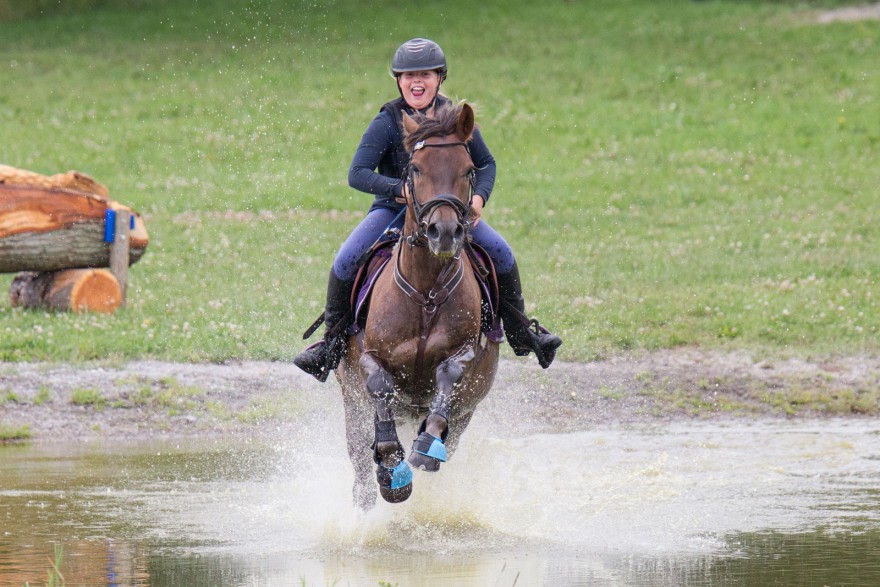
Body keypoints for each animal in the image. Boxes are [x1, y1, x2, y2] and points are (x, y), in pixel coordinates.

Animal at [336, 102, 498, 510]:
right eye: (416, 169)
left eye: (467, 169)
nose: (445, 232)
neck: (425, 294)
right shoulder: (369, 356)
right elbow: (380, 385)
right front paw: (391, 464)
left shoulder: (465, 353)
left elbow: (449, 375)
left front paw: (425, 448)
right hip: (350, 401)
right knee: (359, 461)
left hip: (466, 413)